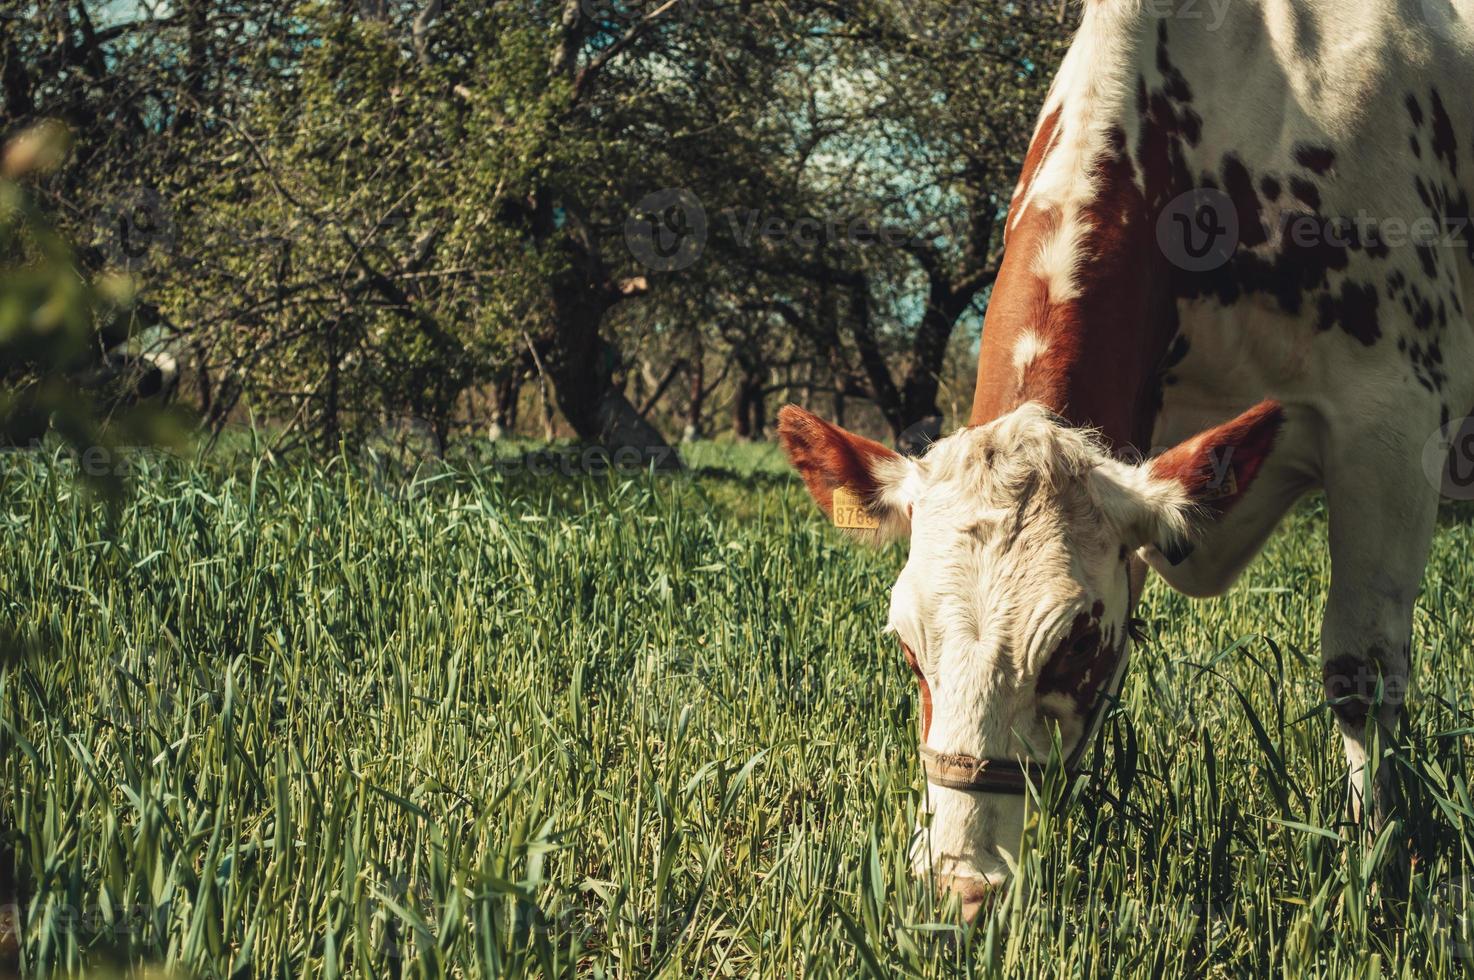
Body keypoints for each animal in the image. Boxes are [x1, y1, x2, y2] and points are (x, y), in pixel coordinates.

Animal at [778, 0, 1468, 919]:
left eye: (1073, 645)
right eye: (905, 647)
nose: (961, 887)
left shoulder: (1389, 422)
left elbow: (1362, 670)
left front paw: (1374, 864)